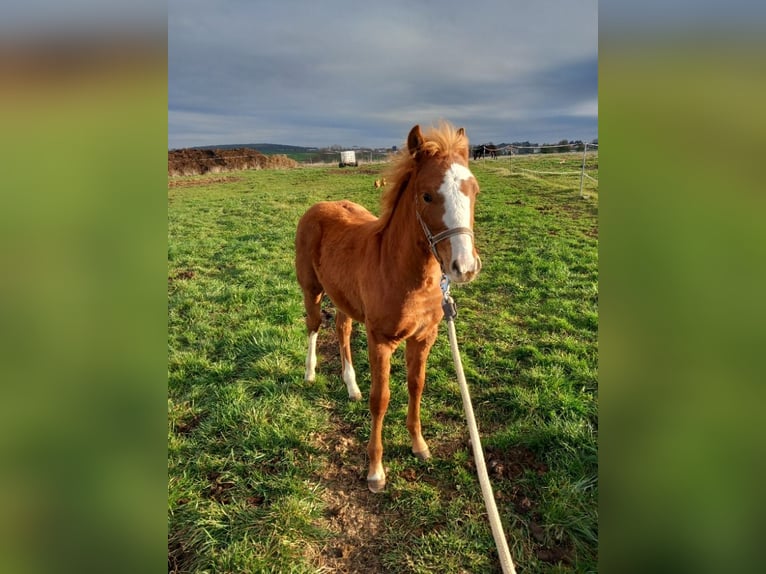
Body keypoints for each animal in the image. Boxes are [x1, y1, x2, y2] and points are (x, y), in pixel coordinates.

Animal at [296, 124, 484, 492]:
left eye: (474, 191)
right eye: (426, 196)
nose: (465, 267)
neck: (402, 271)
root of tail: (319, 206)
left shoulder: (424, 338)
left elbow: (416, 385)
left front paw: (419, 445)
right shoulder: (380, 340)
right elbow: (380, 399)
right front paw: (375, 470)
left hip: (344, 298)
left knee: (341, 330)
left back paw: (351, 386)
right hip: (312, 290)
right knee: (313, 325)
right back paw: (310, 373)